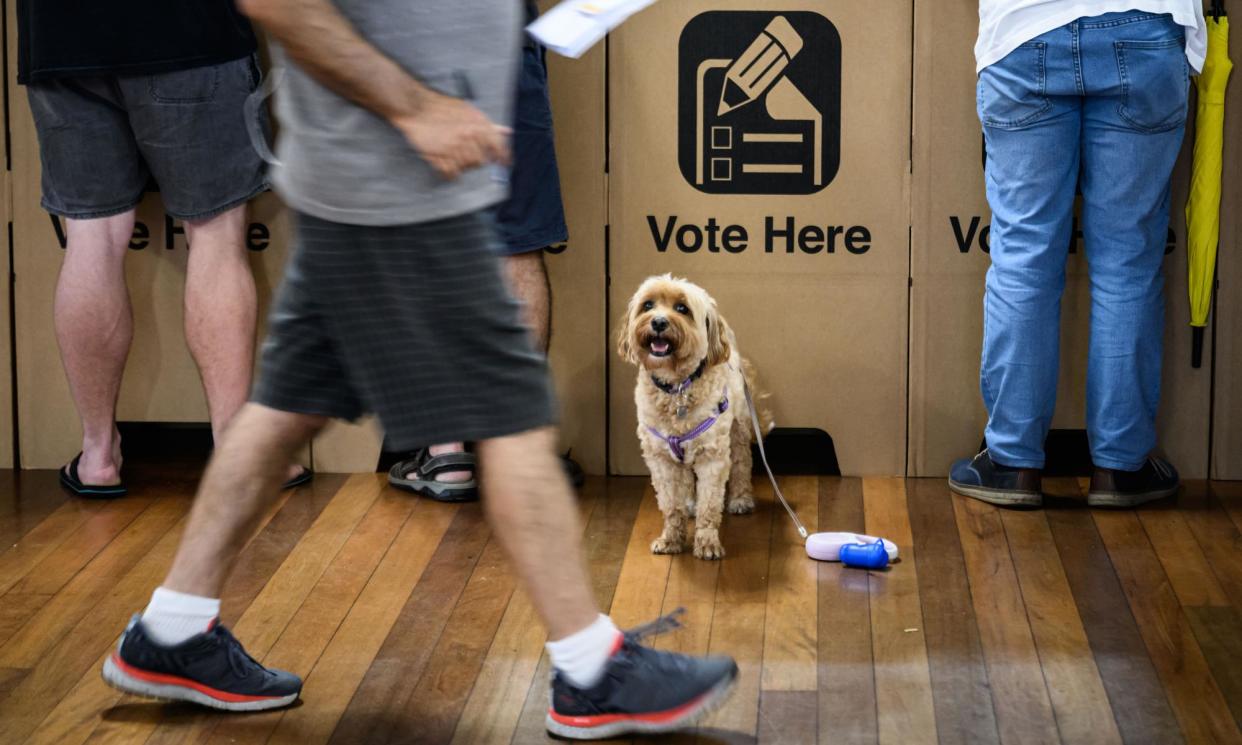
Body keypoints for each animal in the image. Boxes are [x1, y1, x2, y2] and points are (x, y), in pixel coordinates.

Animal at [616, 273, 760, 558]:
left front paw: (707, 542)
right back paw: (690, 503)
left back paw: (741, 498)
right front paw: (671, 539)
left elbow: (710, 504)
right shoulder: (661, 459)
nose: (659, 322)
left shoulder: (712, 456)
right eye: (648, 305)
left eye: (682, 309)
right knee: (687, 482)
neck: (677, 388)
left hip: (738, 429)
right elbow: (672, 505)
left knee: (741, 463)